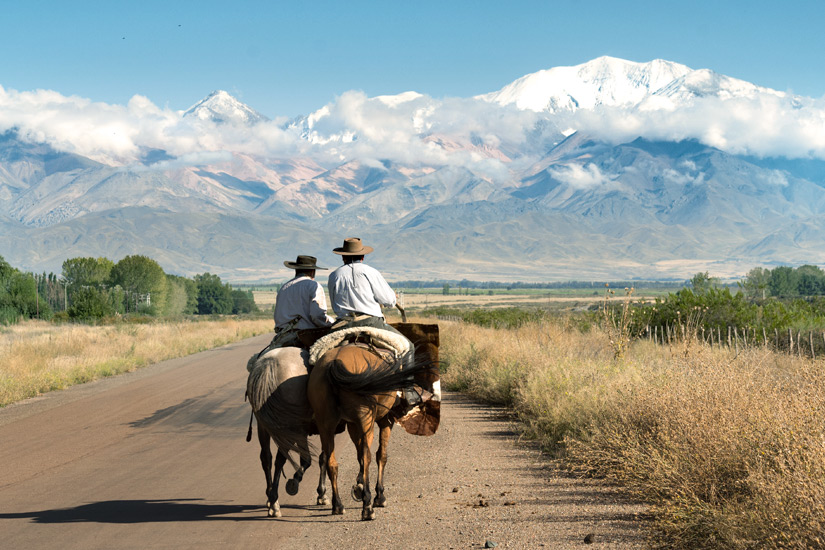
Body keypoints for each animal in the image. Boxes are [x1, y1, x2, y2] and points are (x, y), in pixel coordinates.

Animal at [245, 346, 330, 518]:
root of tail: (268, 366)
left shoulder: (301, 431)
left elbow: (307, 459)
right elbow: (322, 457)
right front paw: (321, 493)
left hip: (264, 426)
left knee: (266, 458)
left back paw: (271, 497)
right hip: (287, 427)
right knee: (280, 458)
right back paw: (274, 503)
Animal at [306, 322, 440, 521]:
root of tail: (334, 363)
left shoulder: (352, 424)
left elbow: (359, 455)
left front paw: (359, 486)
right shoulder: (385, 420)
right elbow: (380, 455)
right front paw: (378, 495)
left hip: (326, 423)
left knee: (331, 460)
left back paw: (338, 505)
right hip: (365, 420)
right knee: (366, 456)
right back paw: (367, 507)